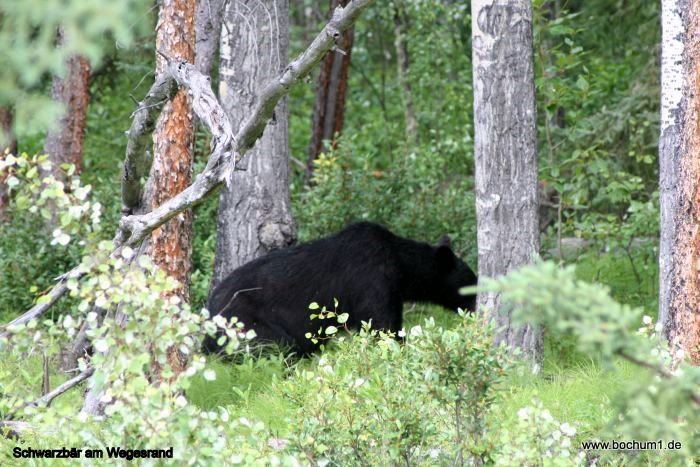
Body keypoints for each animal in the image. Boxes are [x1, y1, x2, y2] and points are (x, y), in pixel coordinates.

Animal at [203, 222, 477, 355]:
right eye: (471, 281)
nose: (477, 307)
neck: (399, 263)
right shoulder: (371, 279)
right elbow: (382, 325)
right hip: (243, 321)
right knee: (278, 344)